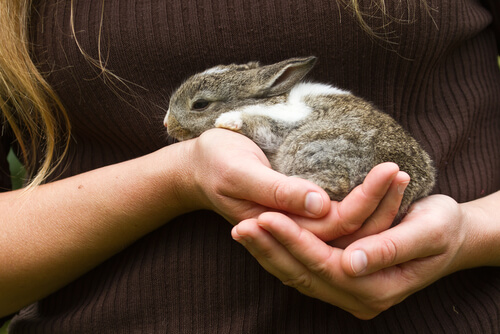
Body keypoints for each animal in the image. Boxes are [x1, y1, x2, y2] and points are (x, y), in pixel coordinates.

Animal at [166, 56, 436, 215]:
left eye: (200, 104)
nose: (167, 124)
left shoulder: (283, 122)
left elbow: (260, 123)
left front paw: (227, 121)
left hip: (311, 145)